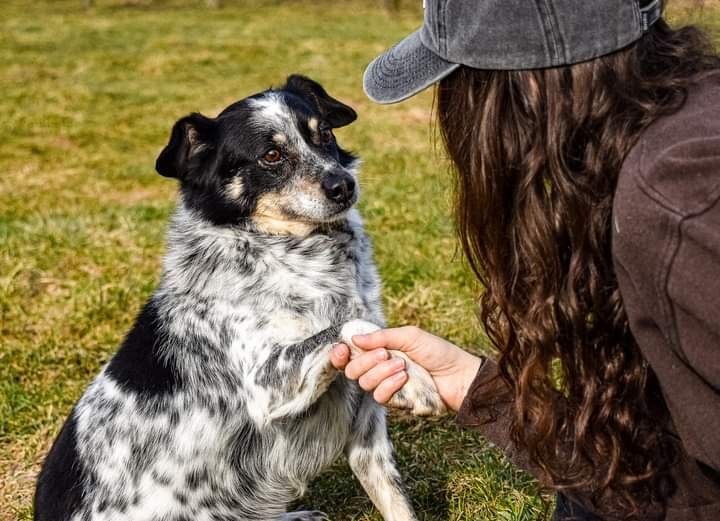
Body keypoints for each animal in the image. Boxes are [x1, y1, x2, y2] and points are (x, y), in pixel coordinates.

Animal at [36, 76, 448, 520]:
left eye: (324, 134)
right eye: (271, 155)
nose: (343, 185)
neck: (301, 253)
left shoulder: (366, 428)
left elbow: (394, 498)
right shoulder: (263, 384)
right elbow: (350, 325)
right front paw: (418, 382)